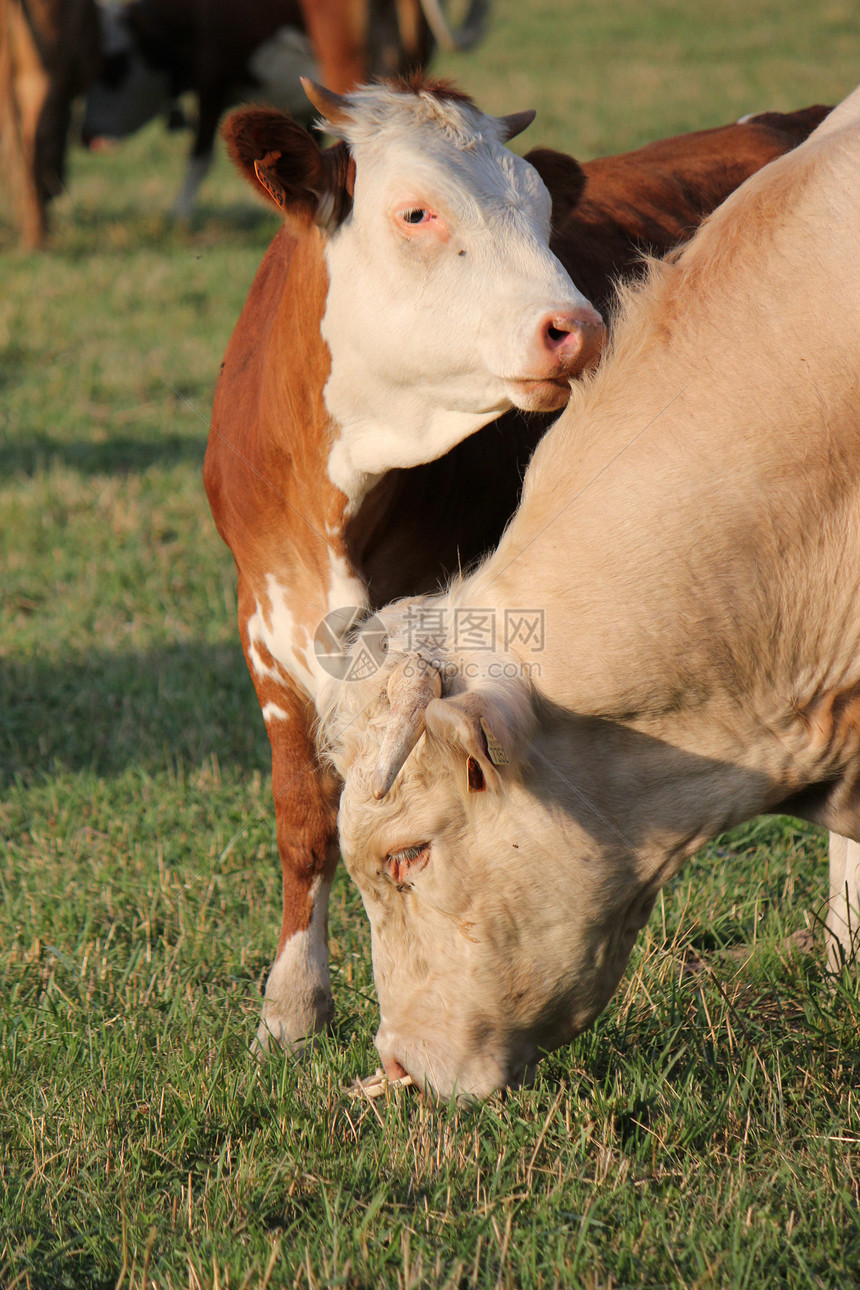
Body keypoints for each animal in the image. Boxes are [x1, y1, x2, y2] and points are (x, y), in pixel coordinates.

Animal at [205, 70, 830, 1057]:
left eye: (541, 213)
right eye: (416, 212)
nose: (577, 328)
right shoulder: (265, 629)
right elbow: (303, 819)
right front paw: (291, 1009)